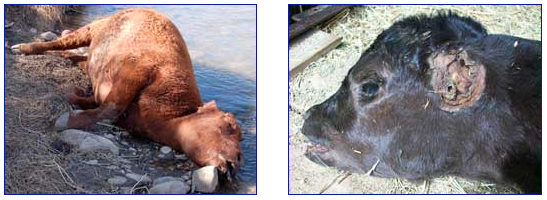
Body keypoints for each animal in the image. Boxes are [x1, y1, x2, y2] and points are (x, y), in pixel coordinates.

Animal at [11, 7, 244, 177]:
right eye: (229, 124)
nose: (239, 159)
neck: (171, 115)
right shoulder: (137, 69)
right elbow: (112, 107)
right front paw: (64, 120)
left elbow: (99, 103)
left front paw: (72, 95)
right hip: (91, 29)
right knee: (60, 42)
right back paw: (20, 47)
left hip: (88, 52)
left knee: (75, 56)